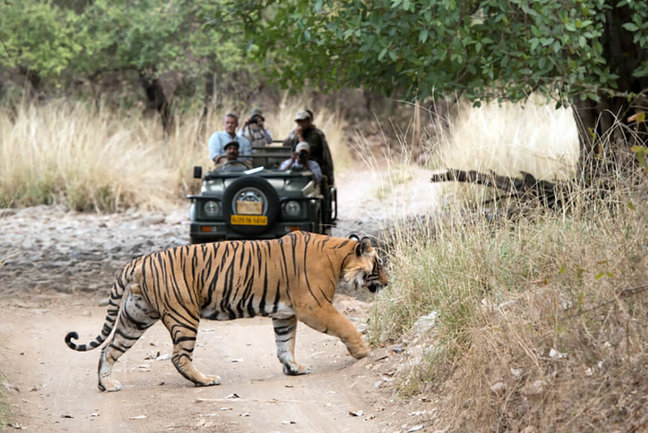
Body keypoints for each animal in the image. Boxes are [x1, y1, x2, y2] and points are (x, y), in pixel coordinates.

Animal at [62, 231, 384, 390]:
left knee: (109, 349)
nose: (387, 281)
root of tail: (137, 261)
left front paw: (293, 368)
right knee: (179, 357)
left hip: (135, 317)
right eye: (379, 264)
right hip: (183, 315)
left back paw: (107, 384)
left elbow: (285, 344)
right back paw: (204, 380)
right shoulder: (313, 306)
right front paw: (362, 352)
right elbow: (346, 325)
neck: (340, 258)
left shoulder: (285, 313)